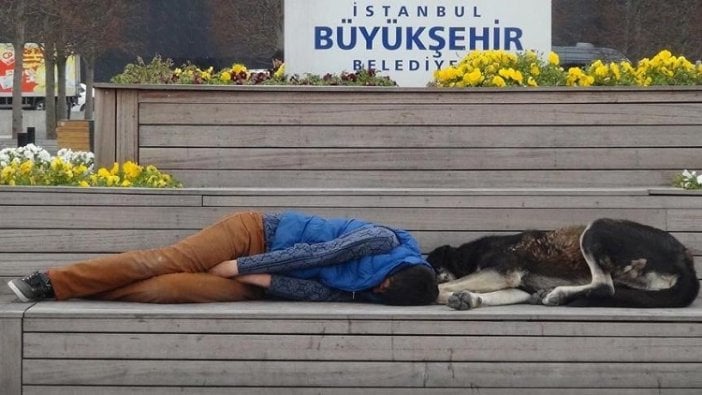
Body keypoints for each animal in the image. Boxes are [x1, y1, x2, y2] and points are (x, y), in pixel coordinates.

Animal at [428, 220, 700, 310]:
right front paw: (467, 298)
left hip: (596, 228)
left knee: (604, 286)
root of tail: (685, 259)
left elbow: (441, 288)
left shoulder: (502, 272)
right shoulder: (513, 285)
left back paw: (556, 294)